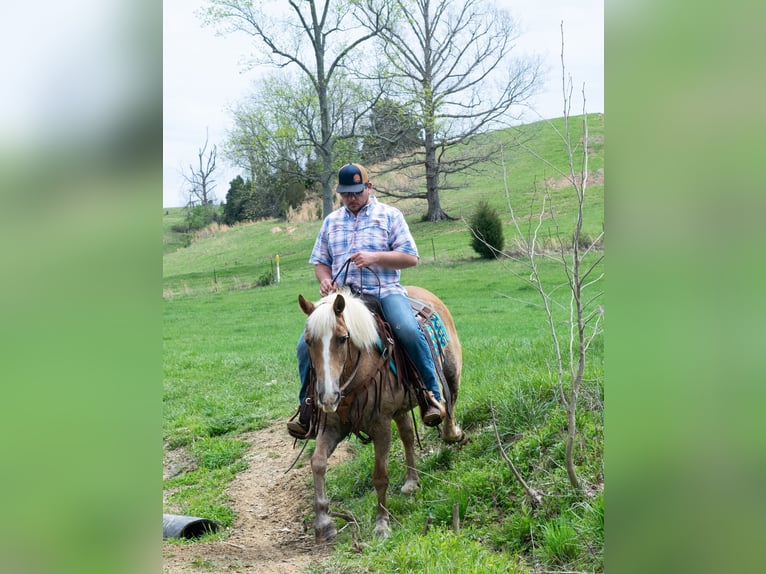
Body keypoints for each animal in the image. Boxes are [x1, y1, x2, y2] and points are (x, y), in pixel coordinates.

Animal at [296, 288, 464, 544]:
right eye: (308, 341)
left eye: (342, 338)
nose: (327, 396)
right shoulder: (331, 426)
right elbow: (318, 463)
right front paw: (323, 523)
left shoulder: (381, 425)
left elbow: (380, 475)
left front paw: (382, 525)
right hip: (401, 408)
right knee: (407, 436)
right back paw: (411, 482)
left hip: (451, 372)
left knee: (449, 404)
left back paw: (453, 432)